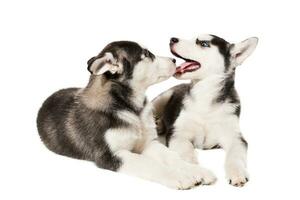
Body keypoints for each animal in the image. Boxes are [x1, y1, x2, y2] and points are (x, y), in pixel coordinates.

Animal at [37, 40, 216, 189]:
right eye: (147, 54)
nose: (173, 60)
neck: (132, 110)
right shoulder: (111, 155)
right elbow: (148, 164)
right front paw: (179, 177)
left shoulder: (149, 143)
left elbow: (172, 156)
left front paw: (197, 170)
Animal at [152, 34, 258, 188]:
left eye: (203, 43)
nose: (172, 39)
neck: (205, 95)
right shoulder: (178, 134)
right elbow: (186, 152)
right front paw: (194, 169)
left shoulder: (235, 137)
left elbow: (235, 155)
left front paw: (237, 173)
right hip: (162, 98)